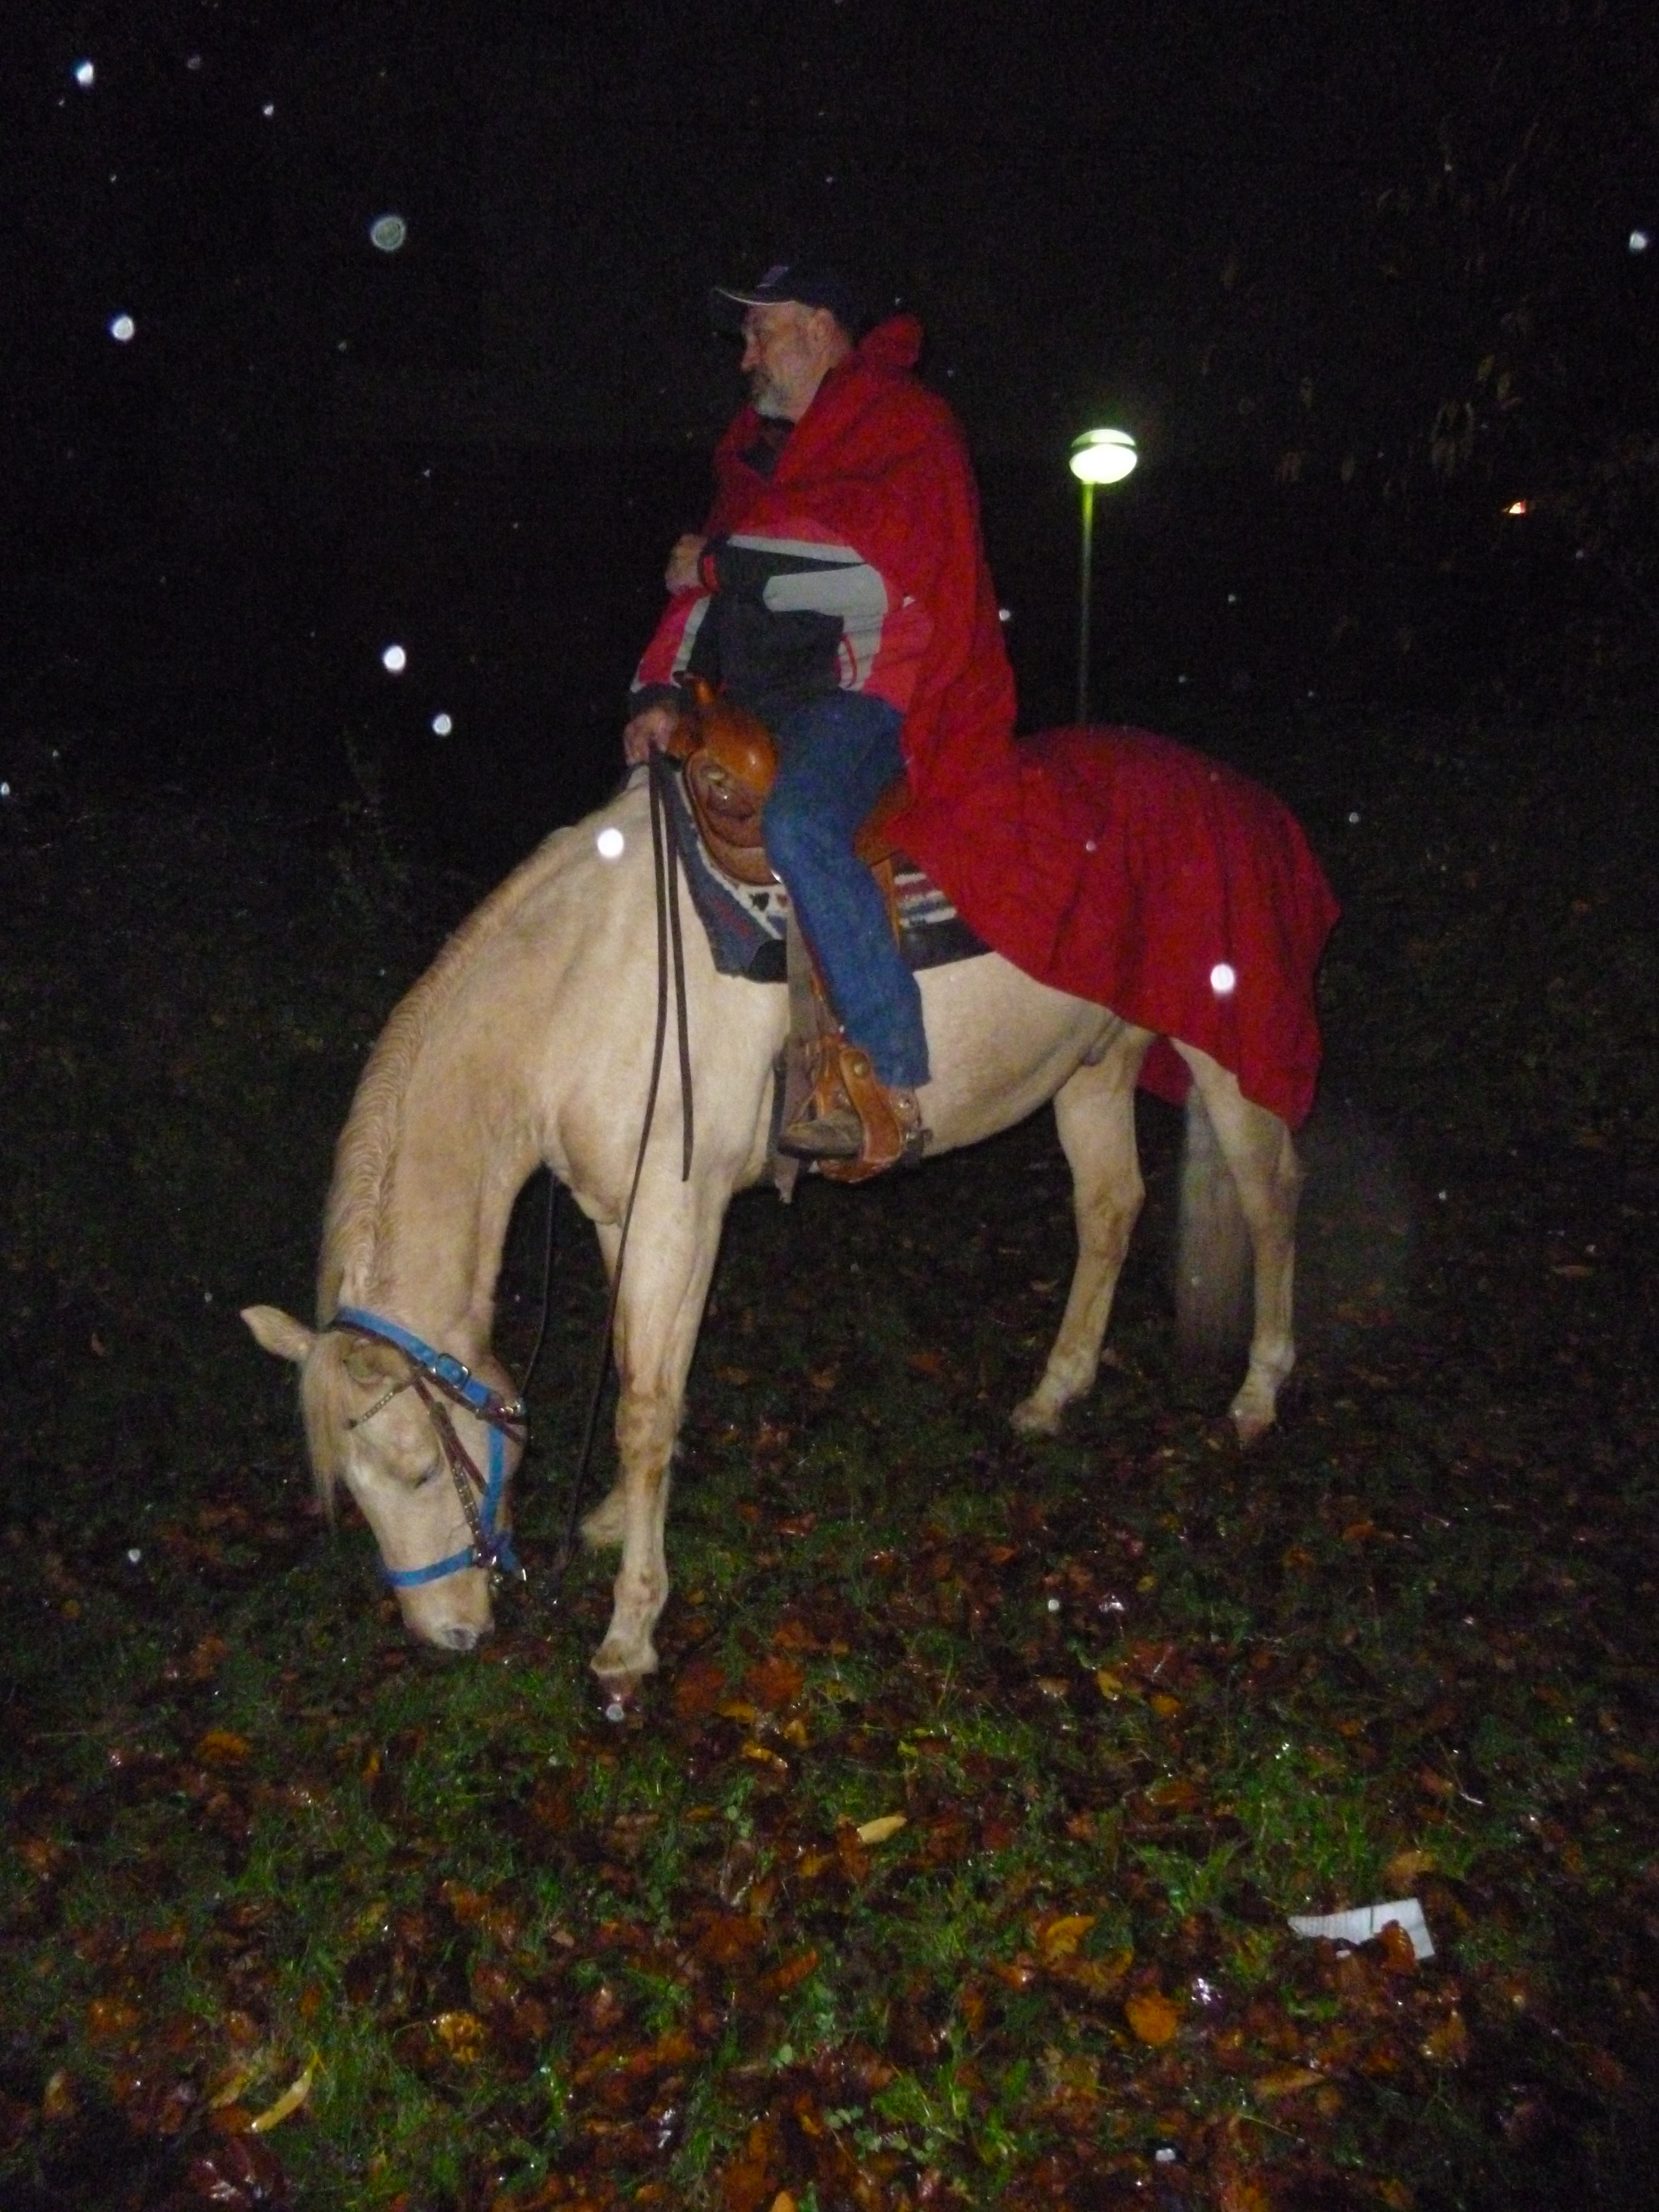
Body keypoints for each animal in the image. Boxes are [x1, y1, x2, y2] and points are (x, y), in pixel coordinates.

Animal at [246, 761, 1309, 1689]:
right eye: (353, 1489)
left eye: (418, 1469)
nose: (449, 1638)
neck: (581, 989)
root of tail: (1239, 798)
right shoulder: (621, 1212)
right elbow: (646, 1379)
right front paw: (614, 1521)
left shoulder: (678, 1212)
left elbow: (641, 1410)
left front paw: (629, 1631)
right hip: (1094, 1066)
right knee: (1108, 1209)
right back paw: (1053, 1394)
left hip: (1226, 1062)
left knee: (1269, 1202)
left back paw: (1257, 1393)